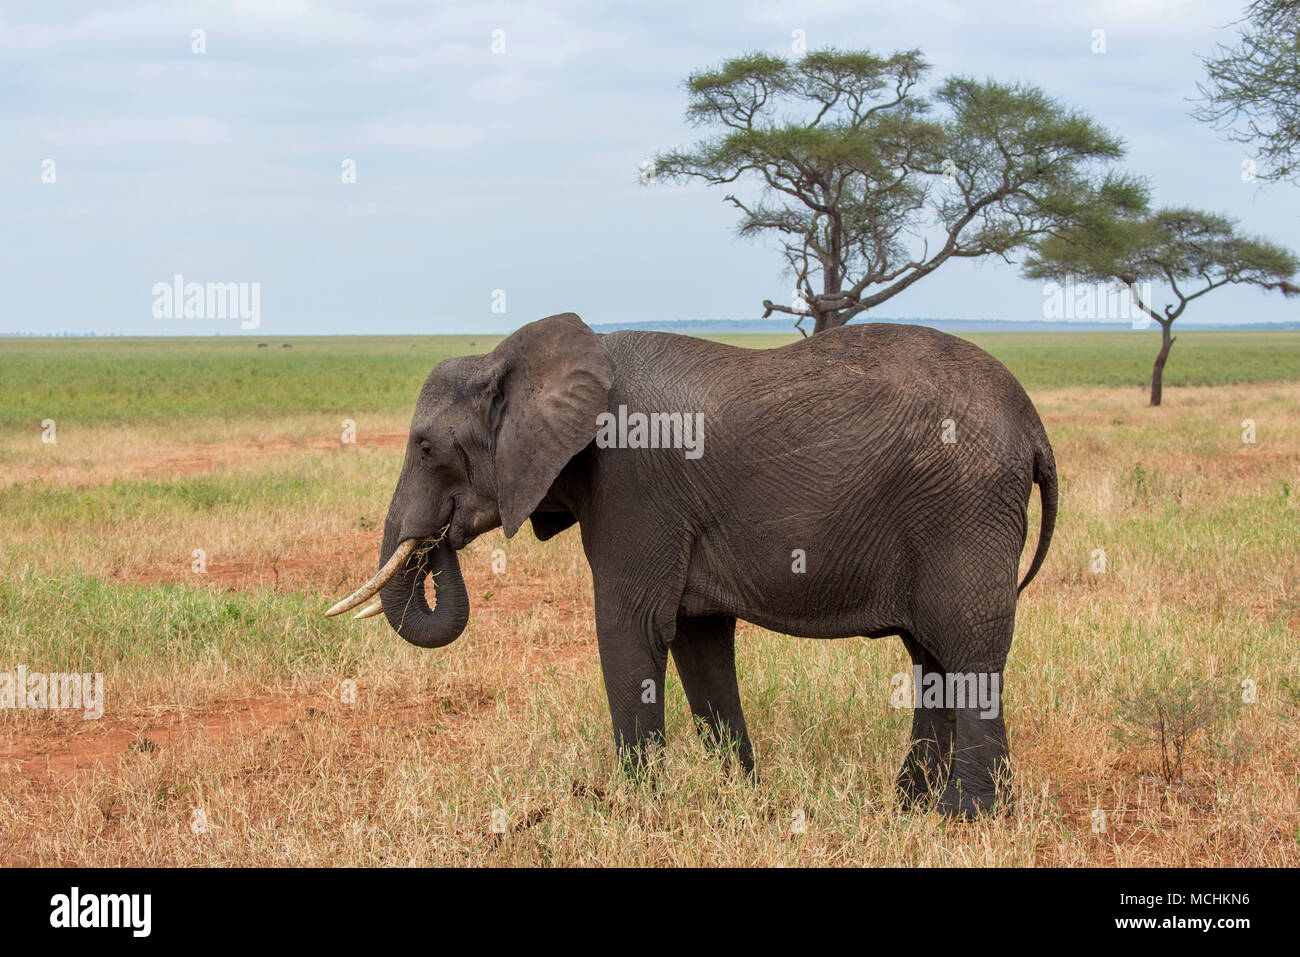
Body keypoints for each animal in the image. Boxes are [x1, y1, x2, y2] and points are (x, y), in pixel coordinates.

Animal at [325, 312, 1055, 816]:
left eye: (425, 448)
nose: (439, 536)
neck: (516, 357)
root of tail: (1033, 425)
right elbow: (699, 640)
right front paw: (743, 795)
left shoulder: (632, 483)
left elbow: (630, 628)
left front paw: (631, 808)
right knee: (933, 655)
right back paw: (908, 806)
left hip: (965, 507)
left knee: (968, 647)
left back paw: (964, 818)